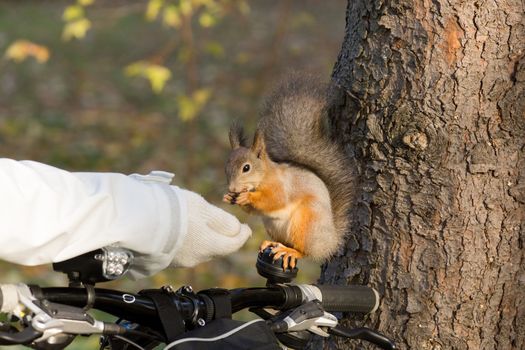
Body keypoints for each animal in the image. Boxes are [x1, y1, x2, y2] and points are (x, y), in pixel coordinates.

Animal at [223, 75, 354, 270]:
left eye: (246, 168)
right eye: (226, 166)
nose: (232, 188)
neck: (264, 176)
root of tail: (329, 243)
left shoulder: (281, 186)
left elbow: (275, 200)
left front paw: (247, 197)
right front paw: (229, 197)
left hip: (305, 222)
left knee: (303, 250)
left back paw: (291, 252)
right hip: (273, 226)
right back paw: (273, 244)